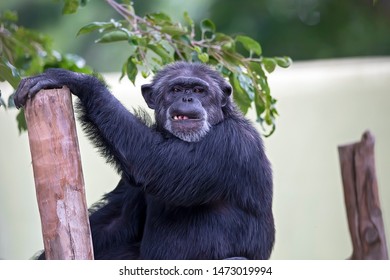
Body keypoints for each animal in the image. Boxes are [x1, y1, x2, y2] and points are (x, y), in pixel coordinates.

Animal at [14, 62, 274, 260]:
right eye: (176, 88)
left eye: (200, 90)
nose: (187, 98)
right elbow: (117, 222)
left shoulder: (228, 144)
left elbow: (154, 164)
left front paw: (76, 80)